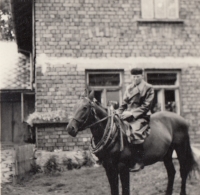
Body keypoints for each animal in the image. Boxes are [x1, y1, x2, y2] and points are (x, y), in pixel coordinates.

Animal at [66, 91, 198, 195]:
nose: (70, 128)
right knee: (171, 172)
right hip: (167, 154)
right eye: (73, 107)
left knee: (183, 171)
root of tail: (182, 119)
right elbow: (114, 190)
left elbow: (125, 190)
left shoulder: (123, 167)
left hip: (181, 149)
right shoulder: (109, 167)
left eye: (85, 108)